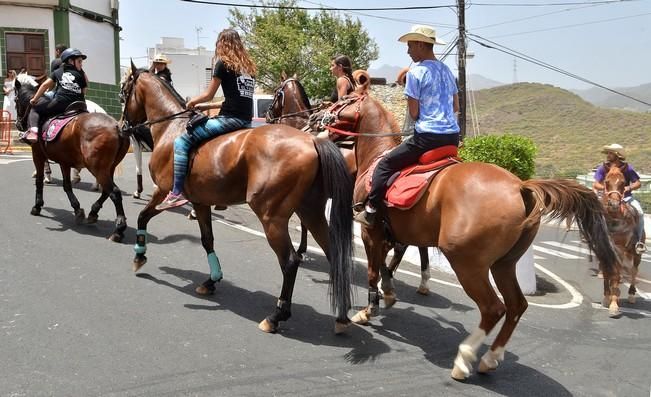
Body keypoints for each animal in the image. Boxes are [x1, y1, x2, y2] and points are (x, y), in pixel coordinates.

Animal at [14, 74, 131, 241]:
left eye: (15, 99)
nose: (18, 124)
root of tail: (117, 127)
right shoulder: (64, 162)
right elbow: (67, 185)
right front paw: (77, 210)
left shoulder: (38, 154)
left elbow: (39, 181)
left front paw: (37, 206)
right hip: (109, 167)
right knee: (106, 191)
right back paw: (93, 212)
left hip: (97, 168)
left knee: (114, 192)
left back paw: (119, 230)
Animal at [122, 65, 356, 334]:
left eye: (124, 91)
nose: (123, 126)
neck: (173, 127)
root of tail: (313, 140)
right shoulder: (201, 202)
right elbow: (207, 240)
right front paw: (211, 280)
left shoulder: (163, 191)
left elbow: (142, 216)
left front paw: (139, 256)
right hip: (311, 212)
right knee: (334, 256)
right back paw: (341, 316)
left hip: (272, 218)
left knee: (289, 261)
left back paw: (277, 315)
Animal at [268, 76, 436, 294]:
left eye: (275, 92)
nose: (267, 115)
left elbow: (305, 223)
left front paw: (302, 250)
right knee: (418, 243)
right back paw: (422, 280)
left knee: (404, 245)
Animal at [328, 93, 620, 380]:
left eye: (343, 101)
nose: (321, 117)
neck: (377, 155)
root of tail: (520, 187)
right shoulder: (391, 236)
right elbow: (387, 266)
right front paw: (388, 293)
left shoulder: (371, 233)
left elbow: (373, 270)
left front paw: (369, 309)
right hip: (504, 264)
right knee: (516, 305)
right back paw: (490, 358)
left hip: (467, 264)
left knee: (494, 308)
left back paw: (464, 358)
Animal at [600, 163, 644, 316]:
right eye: (606, 181)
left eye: (623, 183)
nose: (614, 205)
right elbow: (606, 272)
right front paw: (607, 298)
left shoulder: (619, 249)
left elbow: (616, 275)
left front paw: (613, 305)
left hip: (636, 253)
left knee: (634, 271)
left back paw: (631, 295)